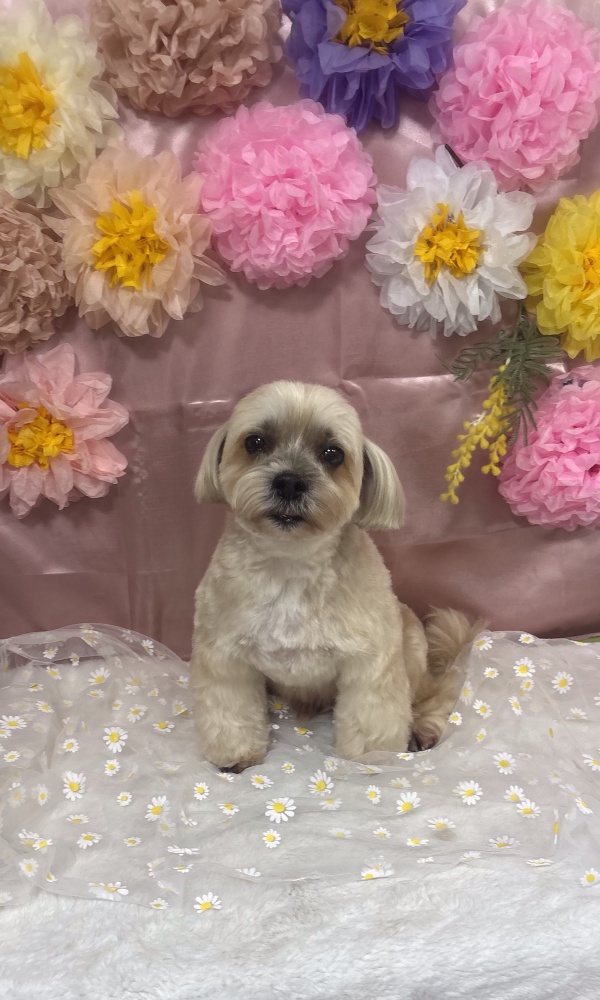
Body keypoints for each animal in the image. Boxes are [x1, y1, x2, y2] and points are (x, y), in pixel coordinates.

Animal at [191, 381, 481, 772]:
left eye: (332, 454)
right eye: (254, 442)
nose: (289, 482)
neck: (292, 563)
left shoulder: (371, 660)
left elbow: (372, 715)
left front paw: (371, 758)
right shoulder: (224, 655)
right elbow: (230, 707)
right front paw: (236, 756)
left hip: (411, 650)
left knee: (435, 693)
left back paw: (422, 729)